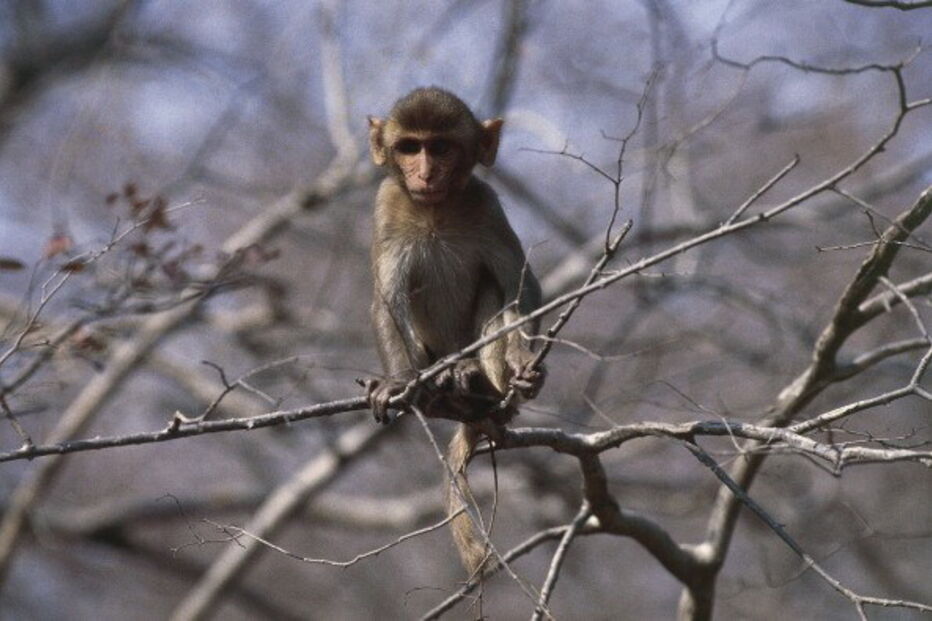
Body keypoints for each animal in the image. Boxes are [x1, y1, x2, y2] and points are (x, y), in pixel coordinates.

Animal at [365, 87, 544, 576]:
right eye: (410, 147)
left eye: (441, 147)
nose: (425, 172)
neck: (436, 211)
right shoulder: (386, 207)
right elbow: (387, 301)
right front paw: (397, 382)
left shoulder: (487, 206)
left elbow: (521, 289)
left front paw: (523, 361)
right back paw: (443, 378)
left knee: (495, 291)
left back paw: (475, 380)